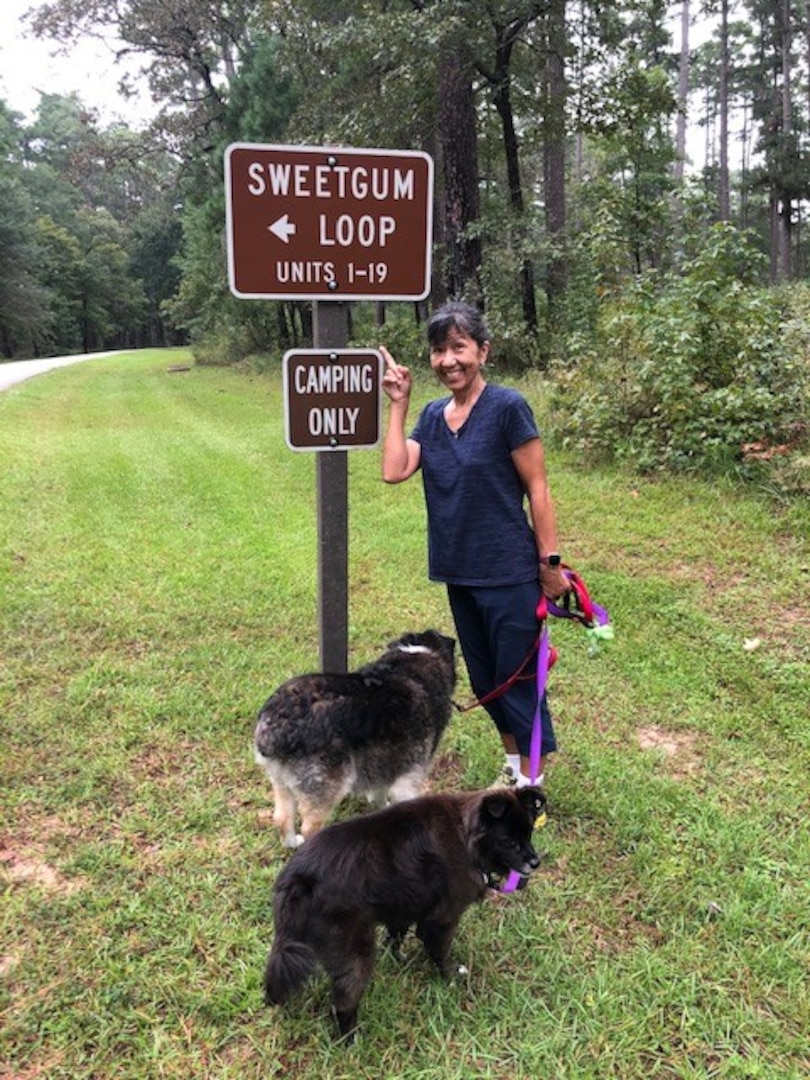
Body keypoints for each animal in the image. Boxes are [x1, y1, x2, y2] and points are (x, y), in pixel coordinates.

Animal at [263, 786, 548, 1036]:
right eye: (507, 841)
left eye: (529, 833)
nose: (536, 862)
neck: (465, 836)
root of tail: (300, 879)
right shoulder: (442, 919)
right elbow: (440, 952)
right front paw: (451, 976)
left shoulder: (403, 906)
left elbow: (395, 937)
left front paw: (399, 958)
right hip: (354, 951)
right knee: (343, 1002)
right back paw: (351, 1039)